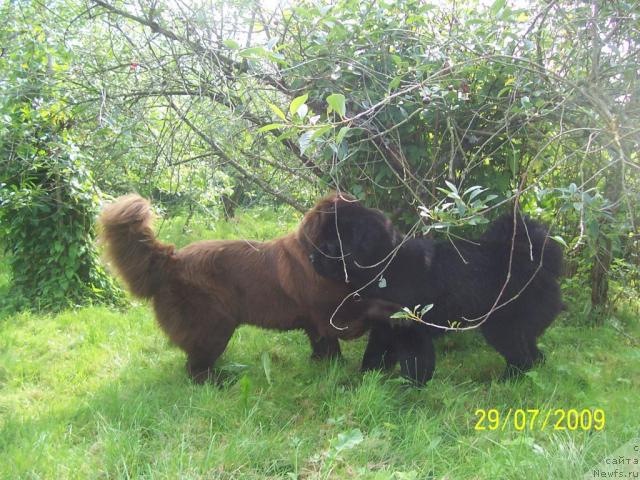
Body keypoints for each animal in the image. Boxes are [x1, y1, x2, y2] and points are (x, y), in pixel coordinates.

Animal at [99, 191, 396, 382]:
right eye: (356, 219)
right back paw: (219, 383)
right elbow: (367, 310)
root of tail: (170, 260)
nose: (386, 218)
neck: (318, 256)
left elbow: (325, 346)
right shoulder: (333, 316)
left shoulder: (318, 324)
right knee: (195, 368)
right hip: (213, 326)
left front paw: (327, 365)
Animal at [308, 197, 564, 384]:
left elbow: (415, 362)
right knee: (534, 354)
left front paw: (410, 390)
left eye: (331, 243)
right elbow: (374, 355)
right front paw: (366, 381)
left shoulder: (410, 327)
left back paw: (505, 382)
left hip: (501, 326)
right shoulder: (385, 325)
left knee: (522, 358)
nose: (310, 257)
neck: (385, 266)